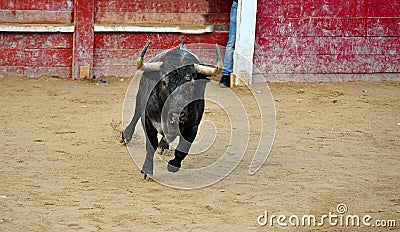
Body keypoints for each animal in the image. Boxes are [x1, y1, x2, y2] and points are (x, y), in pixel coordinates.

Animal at [122, 40, 222, 178]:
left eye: (191, 83)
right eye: (164, 82)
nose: (177, 115)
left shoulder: (193, 126)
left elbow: (183, 149)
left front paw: (173, 165)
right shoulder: (148, 120)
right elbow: (150, 144)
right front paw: (147, 170)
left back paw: (164, 145)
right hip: (140, 95)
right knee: (136, 113)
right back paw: (126, 135)